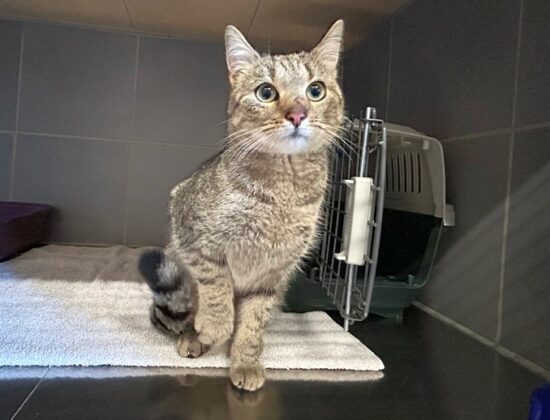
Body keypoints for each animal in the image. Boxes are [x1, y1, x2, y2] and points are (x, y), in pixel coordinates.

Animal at [139, 19, 345, 391]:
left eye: (316, 90)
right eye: (266, 92)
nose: (298, 114)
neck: (283, 192)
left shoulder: (272, 275)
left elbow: (252, 322)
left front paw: (245, 361)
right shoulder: (193, 236)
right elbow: (217, 287)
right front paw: (216, 327)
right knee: (181, 312)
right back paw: (194, 337)